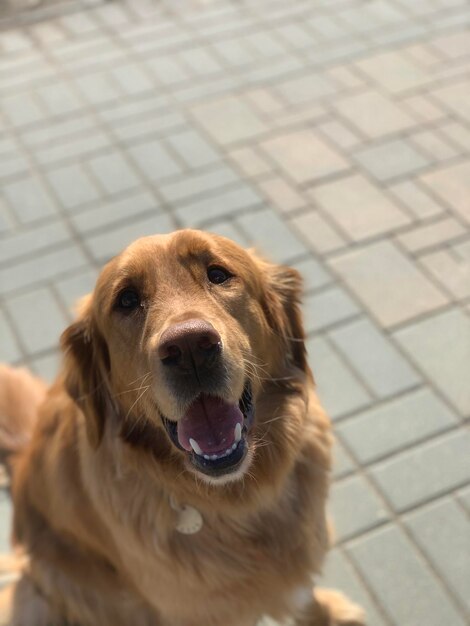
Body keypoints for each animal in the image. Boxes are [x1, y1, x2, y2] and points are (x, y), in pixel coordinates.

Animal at [0, 229, 366, 624]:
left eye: (218, 274)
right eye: (126, 300)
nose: (190, 346)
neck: (237, 499)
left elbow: (303, 595)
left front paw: (326, 611)